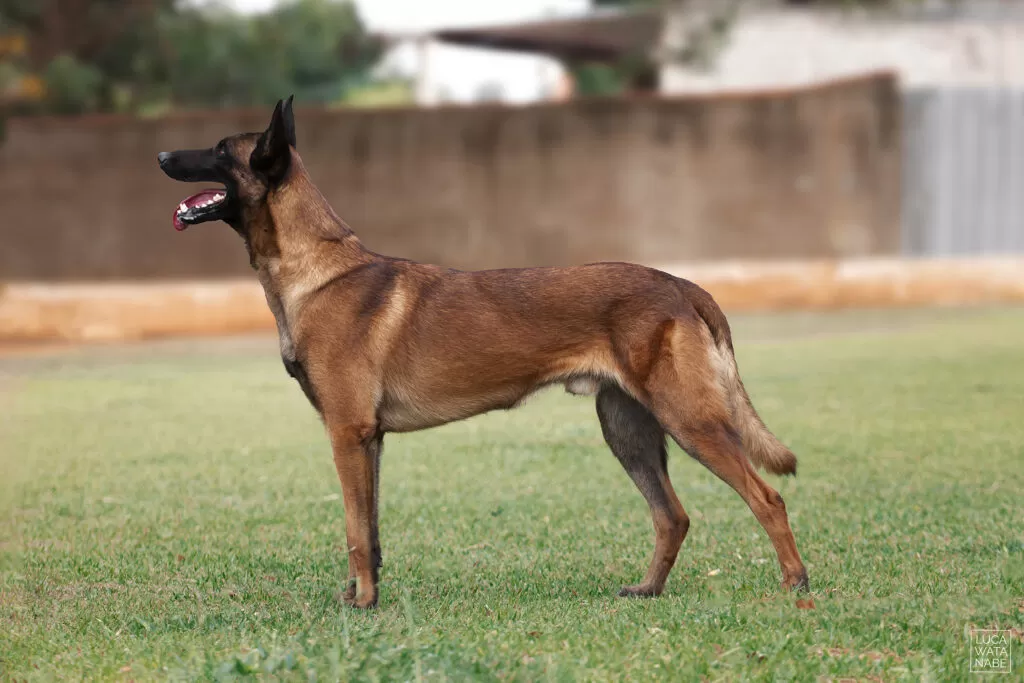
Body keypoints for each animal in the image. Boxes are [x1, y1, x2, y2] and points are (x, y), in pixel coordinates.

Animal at [155, 96, 806, 610]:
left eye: (218, 149)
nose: (161, 156)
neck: (317, 268)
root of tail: (681, 285)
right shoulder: (371, 441)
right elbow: (373, 531)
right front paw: (365, 595)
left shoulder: (347, 433)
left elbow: (355, 531)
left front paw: (361, 605)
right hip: (628, 430)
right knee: (672, 516)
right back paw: (648, 591)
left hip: (690, 420)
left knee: (767, 498)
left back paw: (795, 587)